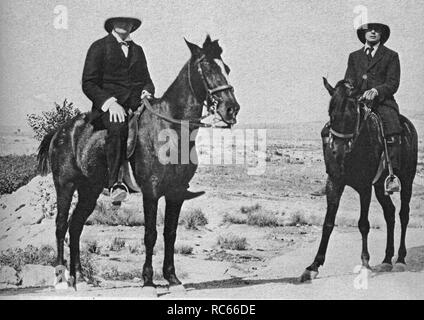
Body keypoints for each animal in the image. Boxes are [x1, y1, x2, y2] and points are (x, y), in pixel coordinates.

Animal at [37, 35, 238, 290]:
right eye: (208, 67)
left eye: (227, 69)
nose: (232, 109)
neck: (170, 129)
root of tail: (59, 131)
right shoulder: (151, 191)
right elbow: (150, 234)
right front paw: (149, 281)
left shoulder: (176, 193)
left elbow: (170, 233)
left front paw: (172, 279)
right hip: (65, 185)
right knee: (61, 225)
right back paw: (62, 279)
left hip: (90, 190)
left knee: (75, 226)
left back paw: (79, 277)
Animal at [302, 79, 418, 282]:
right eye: (331, 115)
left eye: (352, 117)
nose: (338, 152)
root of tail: (409, 127)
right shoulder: (334, 183)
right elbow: (328, 223)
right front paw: (313, 266)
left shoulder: (364, 187)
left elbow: (363, 224)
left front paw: (365, 264)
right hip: (380, 186)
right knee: (390, 213)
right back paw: (387, 259)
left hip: (407, 180)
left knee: (403, 214)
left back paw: (400, 259)